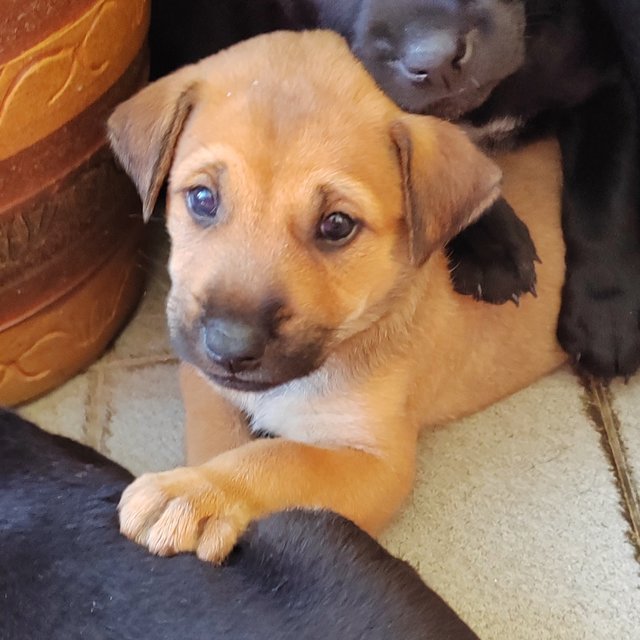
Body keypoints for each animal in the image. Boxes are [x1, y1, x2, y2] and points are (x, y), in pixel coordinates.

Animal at [109, 30, 564, 564]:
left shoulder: (375, 461)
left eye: (337, 225)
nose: (229, 347)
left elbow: (278, 458)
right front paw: (196, 482)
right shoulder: (204, 382)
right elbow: (221, 437)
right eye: (202, 198)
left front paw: (192, 493)